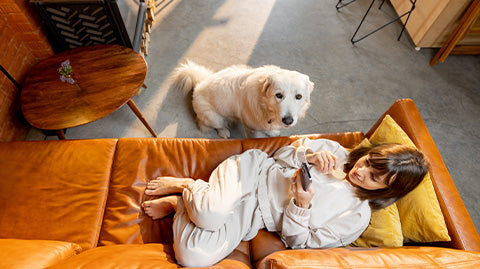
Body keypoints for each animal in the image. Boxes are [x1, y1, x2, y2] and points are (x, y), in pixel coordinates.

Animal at [172, 59, 316, 137]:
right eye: (279, 95)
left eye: (298, 96)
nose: (288, 120)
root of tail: (198, 84)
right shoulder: (252, 128)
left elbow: (269, 129)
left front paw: (273, 132)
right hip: (214, 118)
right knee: (208, 124)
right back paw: (223, 131)